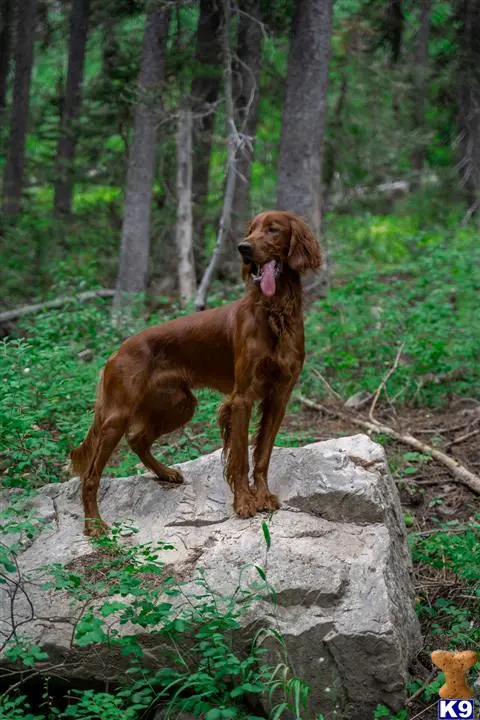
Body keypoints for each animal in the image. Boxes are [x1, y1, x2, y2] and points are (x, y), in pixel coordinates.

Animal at [70, 211, 318, 536]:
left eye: (273, 229)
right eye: (250, 230)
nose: (243, 248)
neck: (275, 313)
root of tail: (115, 352)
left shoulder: (279, 397)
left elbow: (262, 454)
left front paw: (263, 496)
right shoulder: (242, 399)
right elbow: (240, 457)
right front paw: (244, 503)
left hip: (179, 405)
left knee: (138, 439)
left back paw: (166, 473)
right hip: (118, 415)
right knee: (91, 474)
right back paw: (94, 524)